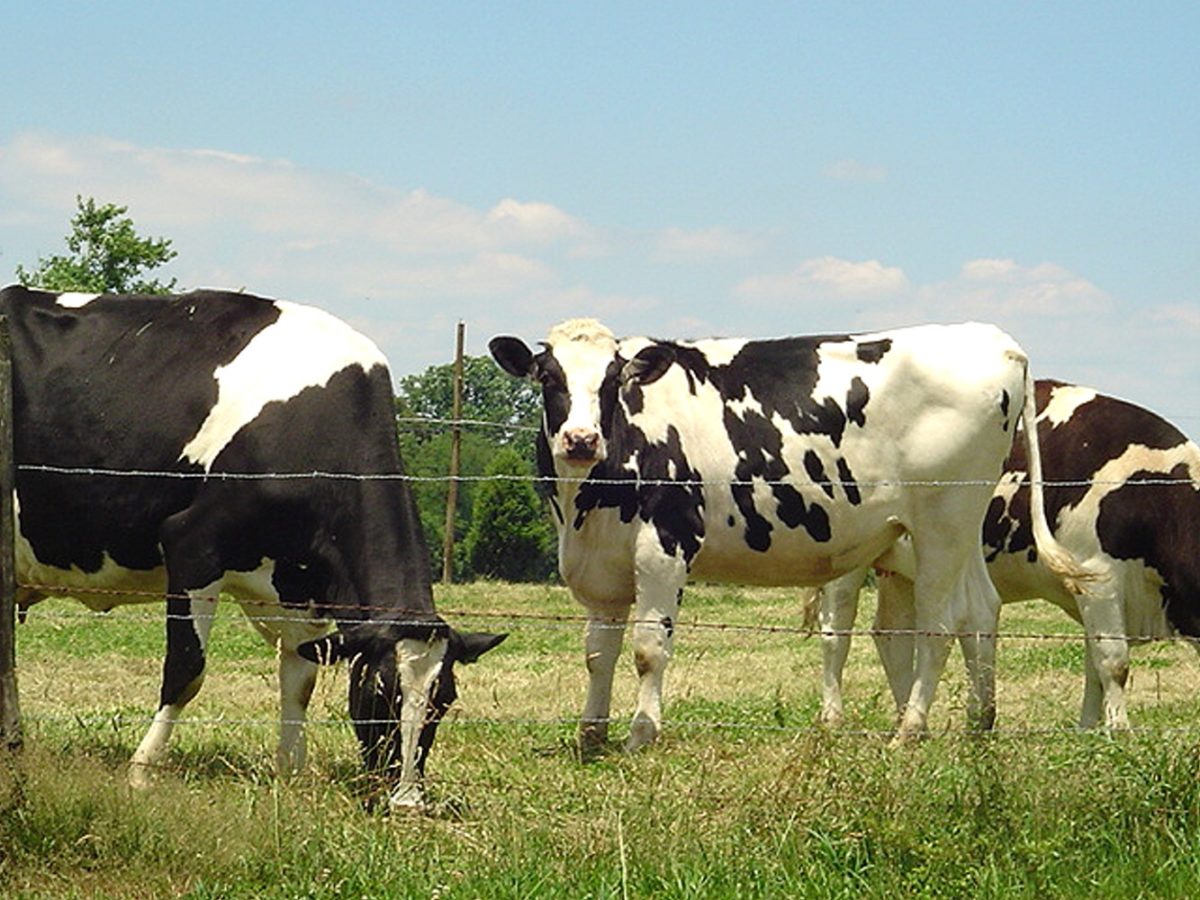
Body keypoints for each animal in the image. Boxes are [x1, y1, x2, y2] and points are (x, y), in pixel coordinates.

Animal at [1, 285, 506, 816]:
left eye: (444, 700)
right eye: (376, 695)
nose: (407, 803)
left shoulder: (300, 589)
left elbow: (300, 679)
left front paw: (292, 774)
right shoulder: (192, 546)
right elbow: (187, 670)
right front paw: (142, 771)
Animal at [489, 321, 1089, 748]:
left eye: (614, 382)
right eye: (548, 378)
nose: (581, 439)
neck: (585, 504)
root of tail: (992, 339)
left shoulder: (664, 547)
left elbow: (647, 649)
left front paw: (641, 733)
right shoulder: (599, 565)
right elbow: (598, 653)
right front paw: (591, 733)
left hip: (942, 520)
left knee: (940, 624)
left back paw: (911, 730)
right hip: (957, 528)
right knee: (980, 609)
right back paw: (978, 722)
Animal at [806, 381, 1200, 734]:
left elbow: (1094, 667)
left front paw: (1088, 731)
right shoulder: (1097, 575)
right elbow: (1113, 662)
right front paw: (1121, 734)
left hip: (902, 566)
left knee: (892, 635)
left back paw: (911, 720)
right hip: (849, 555)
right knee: (837, 632)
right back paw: (833, 719)